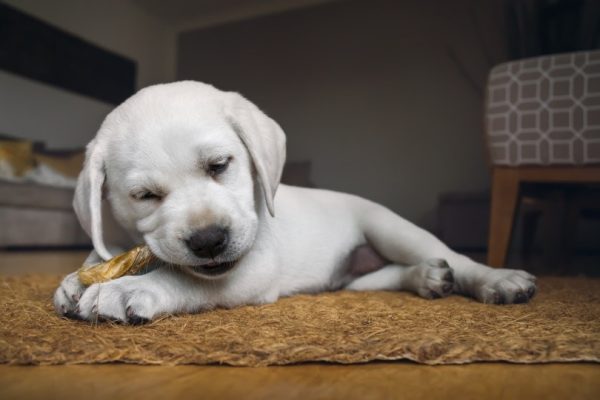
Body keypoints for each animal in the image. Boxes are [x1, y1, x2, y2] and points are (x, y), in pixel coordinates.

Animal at [54, 81, 536, 324]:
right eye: (145, 197)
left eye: (219, 165)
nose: (209, 241)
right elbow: (109, 255)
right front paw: (77, 279)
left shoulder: (253, 268)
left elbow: (183, 279)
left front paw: (129, 288)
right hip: (351, 280)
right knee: (388, 275)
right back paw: (429, 278)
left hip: (390, 228)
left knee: (451, 256)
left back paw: (496, 279)